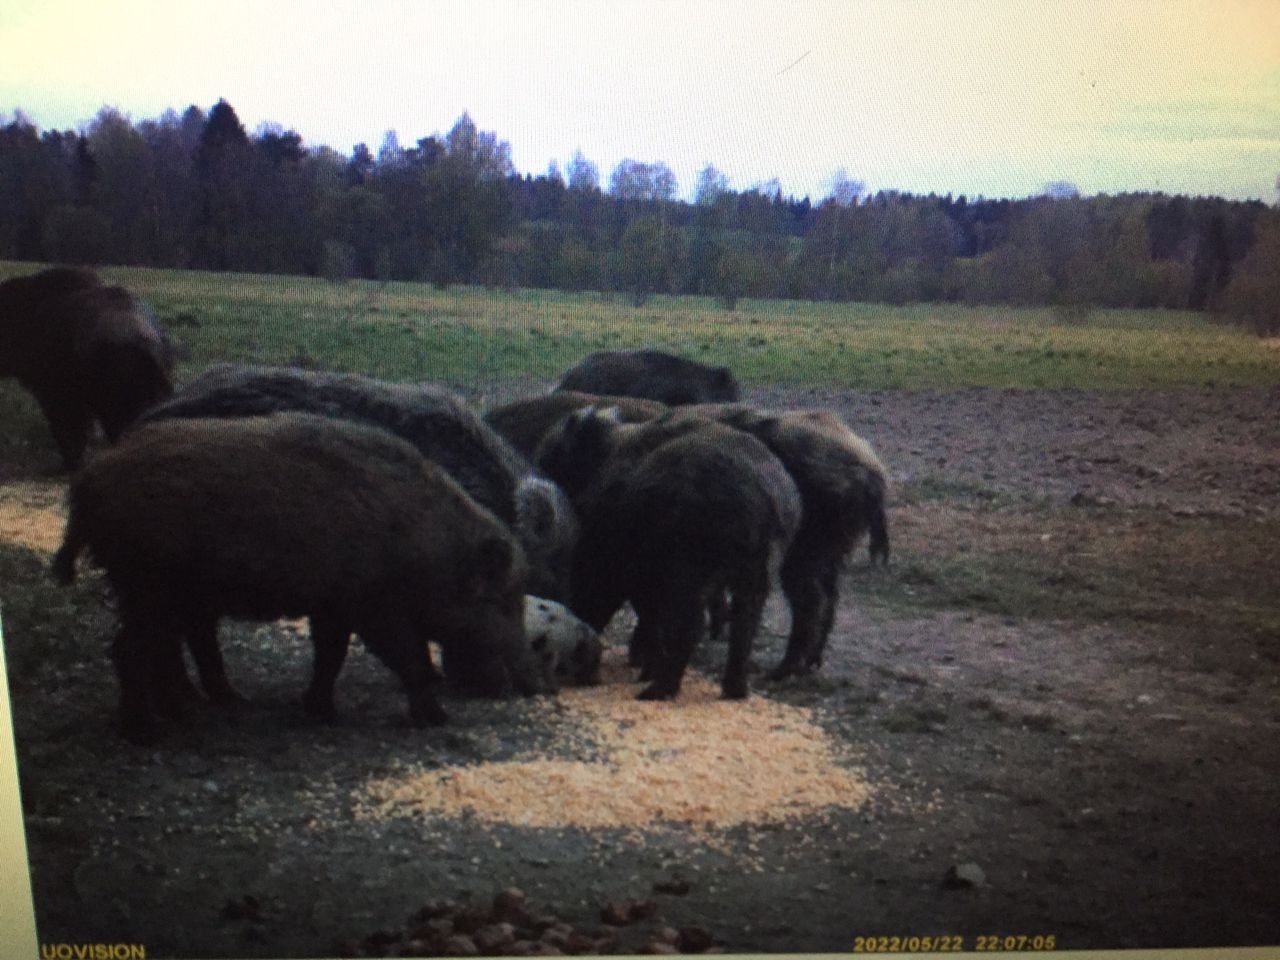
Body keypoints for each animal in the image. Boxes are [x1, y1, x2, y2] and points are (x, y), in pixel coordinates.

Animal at [48, 414, 540, 742]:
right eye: (504, 601)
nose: (535, 684)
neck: (429, 547)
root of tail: (86, 485)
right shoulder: (374, 608)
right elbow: (411, 659)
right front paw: (437, 719)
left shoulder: (334, 607)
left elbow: (331, 656)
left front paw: (323, 713)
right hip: (149, 586)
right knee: (130, 651)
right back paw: (146, 731)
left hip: (158, 593)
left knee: (167, 650)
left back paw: (206, 708)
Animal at [532, 409, 793, 701]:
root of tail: (763, 497)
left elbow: (651, 618)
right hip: (757, 576)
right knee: (744, 626)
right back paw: (734, 692)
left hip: (691, 574)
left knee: (692, 626)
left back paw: (654, 691)